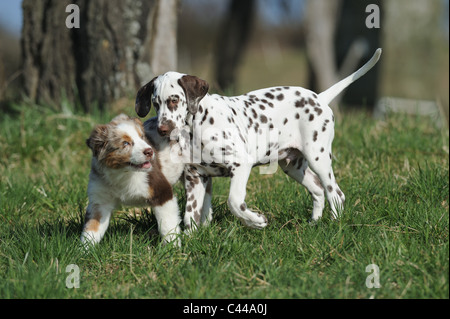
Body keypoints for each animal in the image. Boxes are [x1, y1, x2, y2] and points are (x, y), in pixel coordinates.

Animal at [81, 115, 181, 248]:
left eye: (142, 137)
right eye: (125, 143)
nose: (150, 151)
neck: (124, 173)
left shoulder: (161, 192)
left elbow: (167, 224)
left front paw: (172, 248)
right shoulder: (100, 201)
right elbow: (92, 228)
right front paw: (84, 250)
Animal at [135, 48, 382, 231]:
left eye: (174, 100)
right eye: (155, 103)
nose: (163, 129)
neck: (197, 126)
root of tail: (319, 97)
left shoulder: (240, 165)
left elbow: (234, 202)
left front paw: (255, 221)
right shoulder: (196, 176)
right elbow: (190, 216)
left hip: (318, 158)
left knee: (336, 194)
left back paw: (334, 224)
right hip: (293, 166)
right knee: (319, 191)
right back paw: (314, 223)